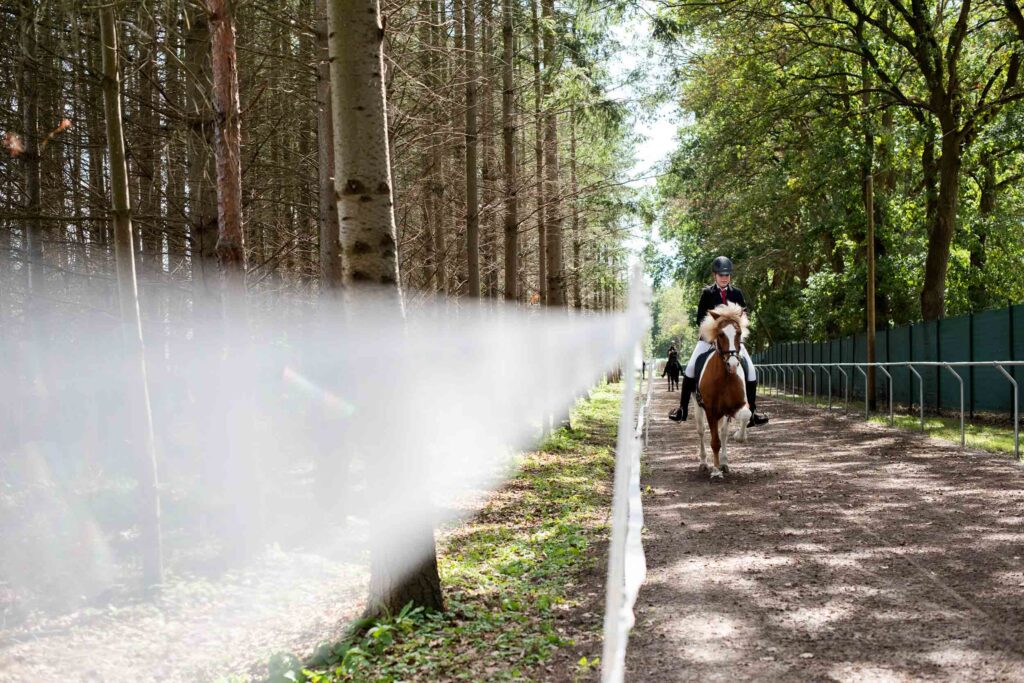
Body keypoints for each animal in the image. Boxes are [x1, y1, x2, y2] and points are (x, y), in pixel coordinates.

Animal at [693, 302, 751, 481]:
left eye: (739, 333)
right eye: (720, 334)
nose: (732, 365)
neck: (725, 377)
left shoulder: (735, 406)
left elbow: (746, 415)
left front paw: (740, 437)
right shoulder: (711, 410)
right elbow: (714, 442)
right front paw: (715, 470)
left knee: (723, 433)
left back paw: (724, 463)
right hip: (698, 408)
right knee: (701, 431)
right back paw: (704, 463)